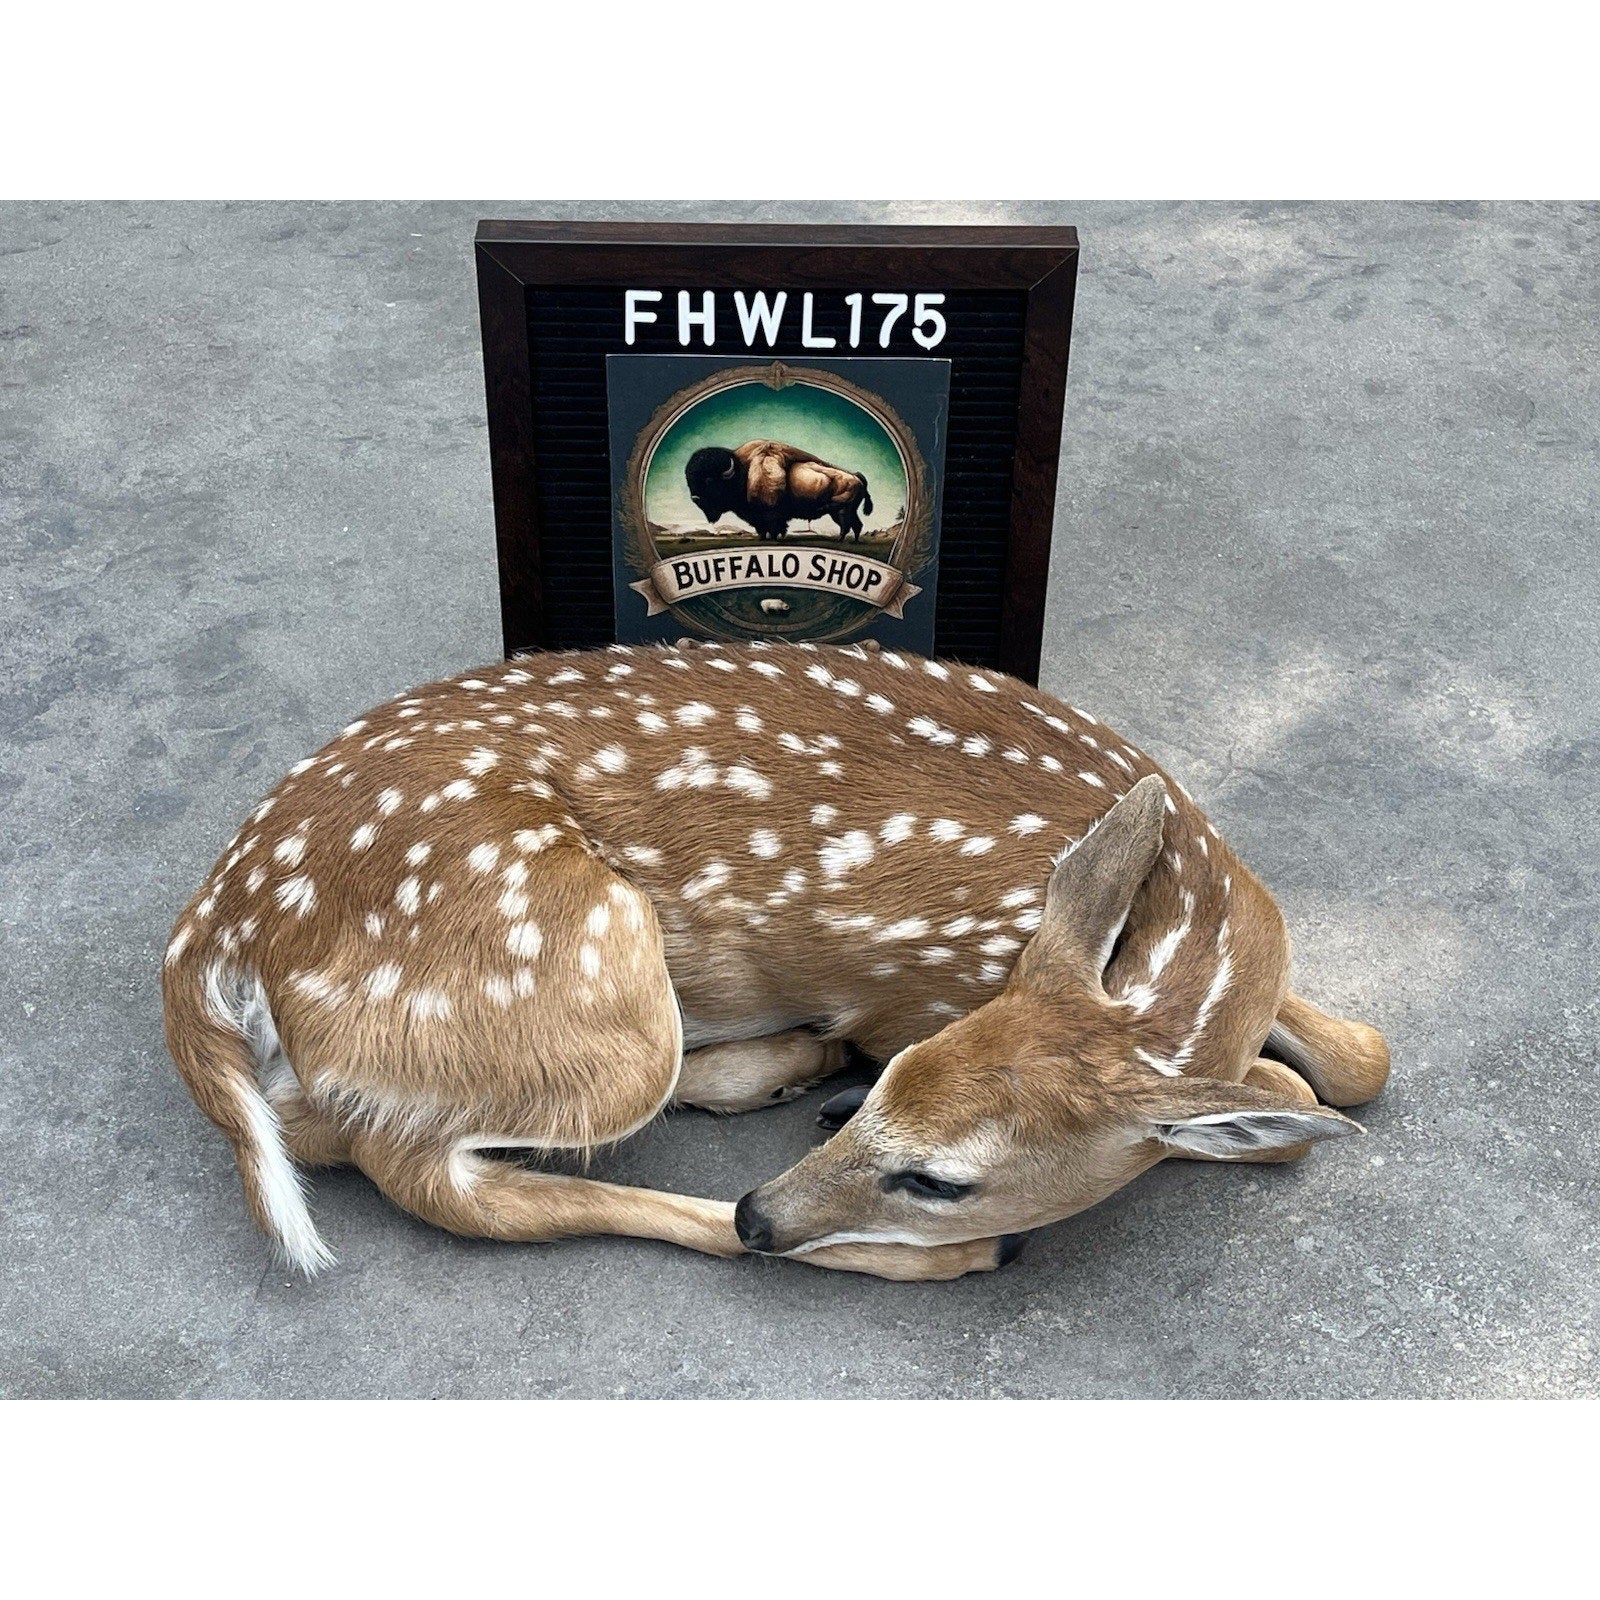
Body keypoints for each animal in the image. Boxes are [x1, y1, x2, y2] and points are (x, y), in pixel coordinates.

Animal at [162, 640, 1390, 1282]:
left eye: (940, 1174)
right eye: (892, 1100)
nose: (761, 1208)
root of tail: (213, 929)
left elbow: (1357, 1061)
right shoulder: (913, 994)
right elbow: (1283, 1105)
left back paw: (784, 1072)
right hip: (582, 976)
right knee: (425, 1173)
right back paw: (917, 1239)